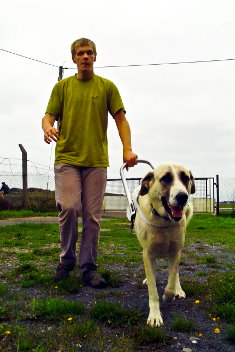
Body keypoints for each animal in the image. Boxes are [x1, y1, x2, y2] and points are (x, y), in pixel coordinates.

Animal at [133, 162, 196, 328]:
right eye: (165, 179)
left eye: (185, 178)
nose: (182, 196)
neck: (163, 221)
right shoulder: (148, 254)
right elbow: (153, 290)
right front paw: (155, 316)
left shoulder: (175, 251)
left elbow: (171, 282)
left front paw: (170, 295)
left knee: (176, 274)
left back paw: (178, 290)